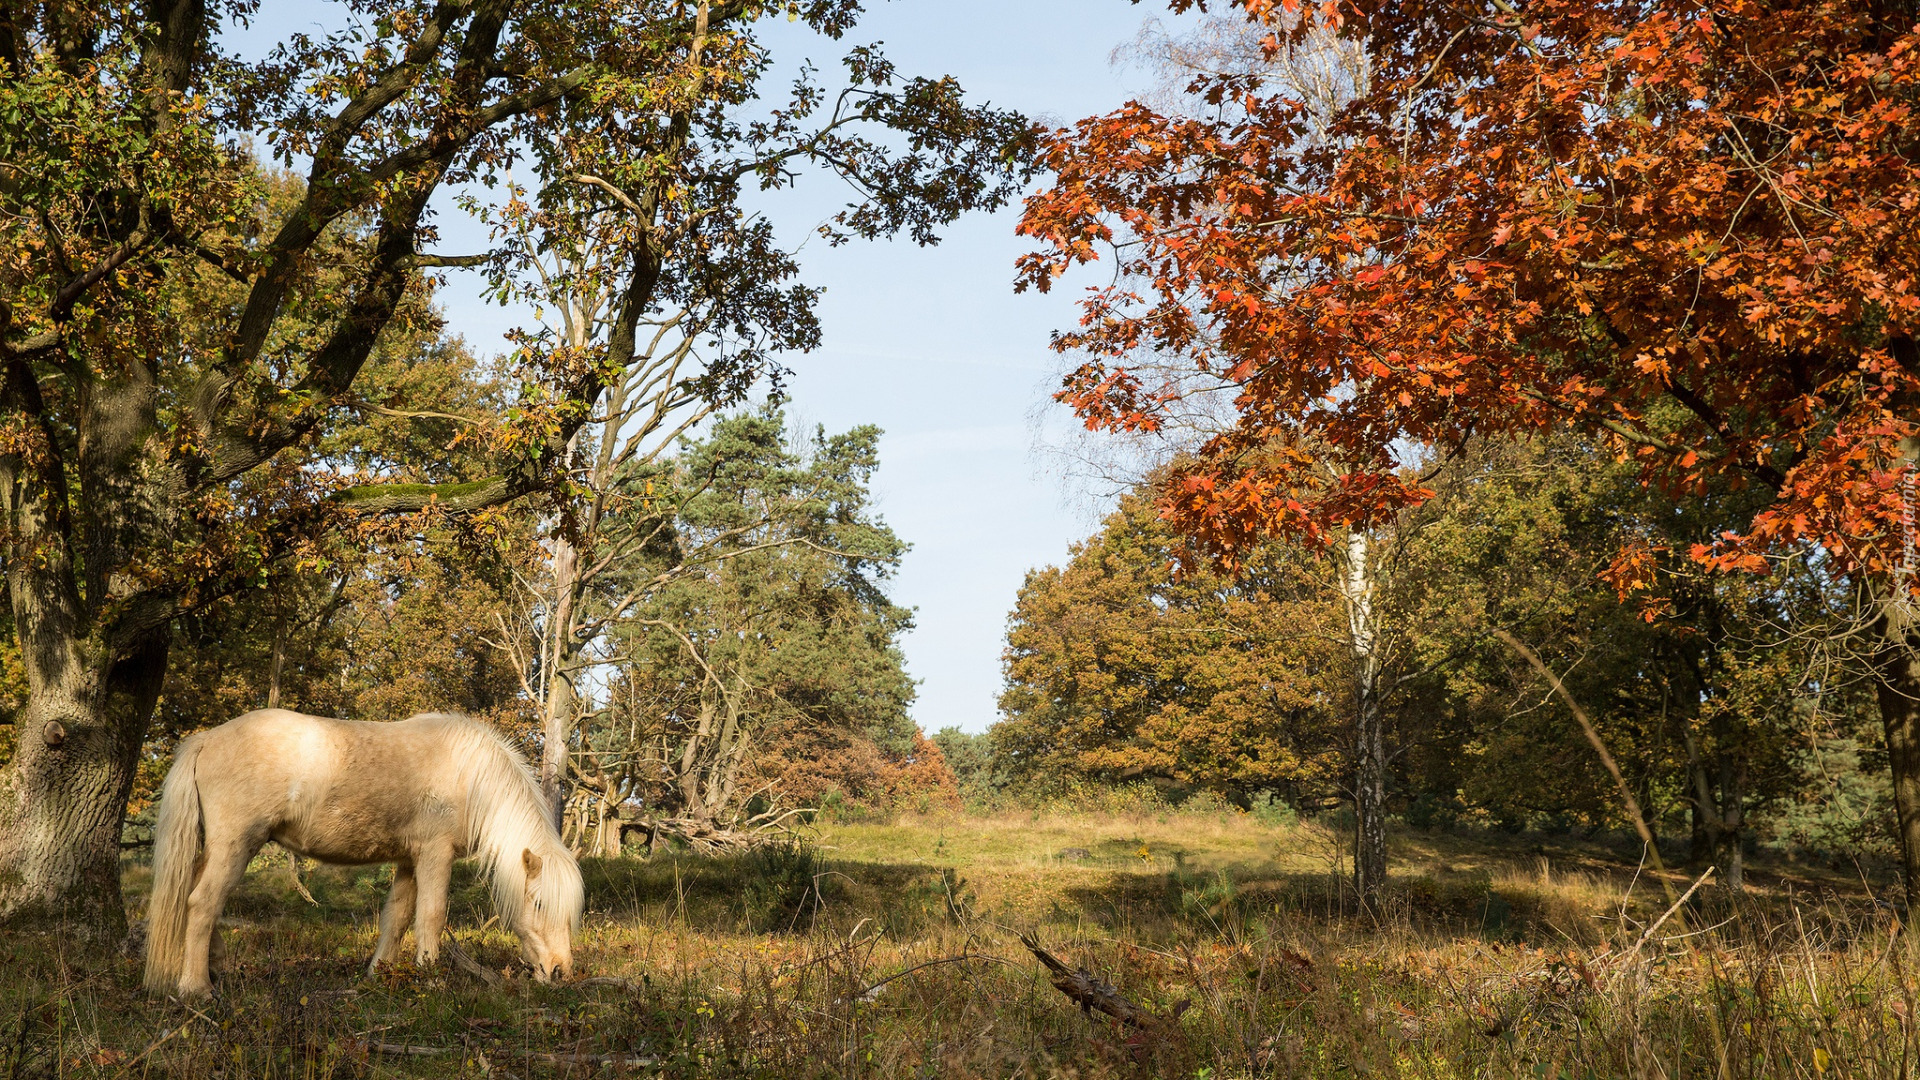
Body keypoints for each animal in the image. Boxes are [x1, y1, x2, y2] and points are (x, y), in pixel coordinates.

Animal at [142, 711, 579, 999]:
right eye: (539, 904)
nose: (559, 972)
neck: (469, 775)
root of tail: (205, 740)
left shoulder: (409, 859)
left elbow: (397, 918)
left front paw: (379, 974)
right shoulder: (435, 854)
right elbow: (431, 917)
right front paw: (431, 980)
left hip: (217, 849)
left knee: (199, 898)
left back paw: (214, 970)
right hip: (237, 844)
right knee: (202, 903)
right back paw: (197, 988)